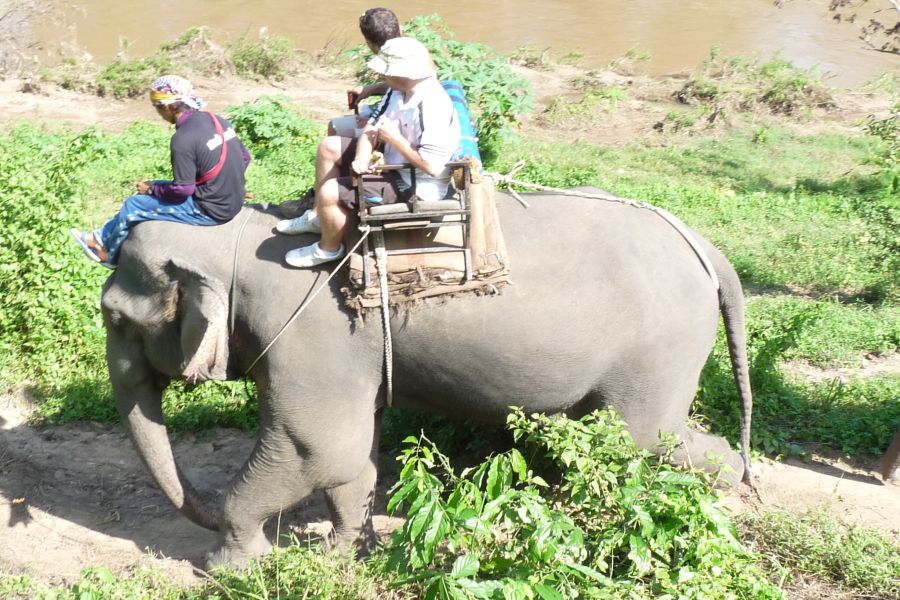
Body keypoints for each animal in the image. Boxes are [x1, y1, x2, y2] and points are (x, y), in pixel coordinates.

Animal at [102, 189, 756, 568]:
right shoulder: (349, 350)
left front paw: (230, 568)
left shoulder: (309, 335)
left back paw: (725, 497)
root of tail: (709, 251)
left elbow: (311, 448)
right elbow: (351, 457)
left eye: (114, 317)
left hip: (658, 353)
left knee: (640, 440)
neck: (236, 240)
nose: (203, 515)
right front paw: (344, 555)